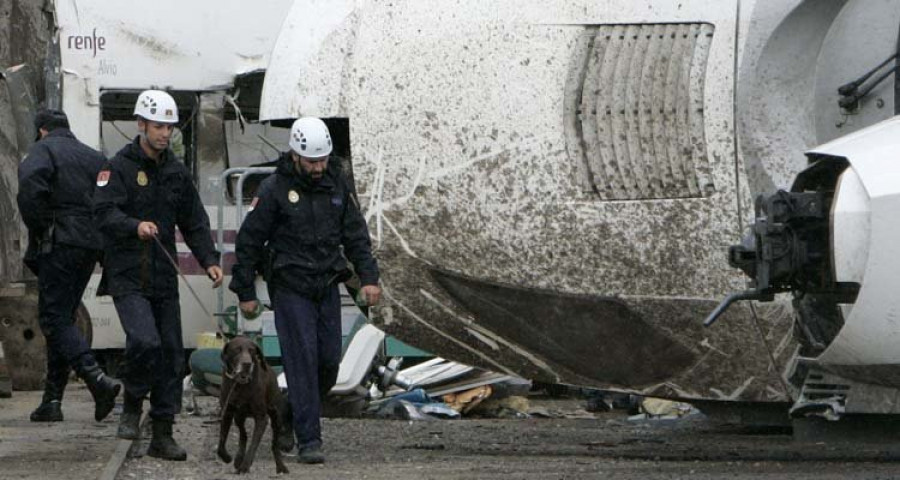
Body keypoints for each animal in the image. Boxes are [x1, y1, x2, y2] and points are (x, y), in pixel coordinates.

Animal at [218, 336, 288, 474]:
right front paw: (227, 457)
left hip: (277, 419)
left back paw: (280, 466)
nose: (247, 364)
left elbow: (253, 445)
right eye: (237, 349)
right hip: (239, 417)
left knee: (274, 444)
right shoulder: (227, 412)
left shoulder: (261, 418)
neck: (240, 385)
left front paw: (245, 466)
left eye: (251, 350)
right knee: (243, 434)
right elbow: (221, 443)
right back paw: (238, 458)